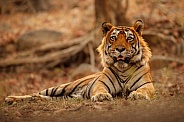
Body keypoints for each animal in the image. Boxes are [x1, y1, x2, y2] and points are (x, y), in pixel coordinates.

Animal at [4, 19, 155, 104]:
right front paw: (101, 96)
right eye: (114, 38)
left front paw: (138, 95)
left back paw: (35, 99)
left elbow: (144, 89)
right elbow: (100, 89)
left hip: (67, 96)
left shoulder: (148, 85)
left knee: (44, 97)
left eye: (129, 39)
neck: (123, 68)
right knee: (36, 93)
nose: (120, 49)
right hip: (61, 87)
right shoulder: (101, 84)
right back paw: (11, 98)